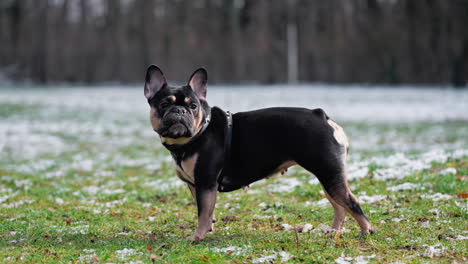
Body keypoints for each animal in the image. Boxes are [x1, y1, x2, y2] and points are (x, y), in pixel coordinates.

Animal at [143, 65, 372, 241]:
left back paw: (365, 232)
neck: (197, 133)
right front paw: (209, 229)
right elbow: (207, 211)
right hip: (328, 177)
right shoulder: (195, 185)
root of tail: (323, 117)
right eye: (163, 104)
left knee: (352, 203)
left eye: (193, 106)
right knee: (340, 206)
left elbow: (202, 212)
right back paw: (334, 232)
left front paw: (197, 237)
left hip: (328, 174)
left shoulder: (205, 183)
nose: (179, 111)